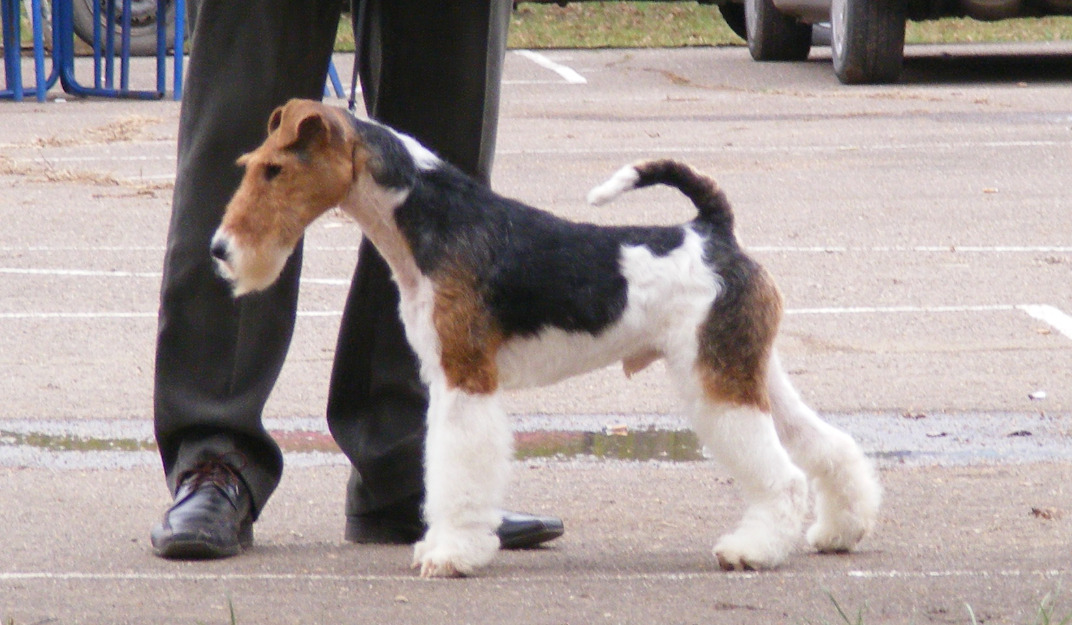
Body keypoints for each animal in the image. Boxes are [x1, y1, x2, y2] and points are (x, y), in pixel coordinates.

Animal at [206, 95, 879, 578]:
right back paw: (840, 530)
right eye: (250, 168)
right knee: (827, 446)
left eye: (274, 169)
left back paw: (752, 550)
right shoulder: (445, 376)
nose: (219, 250)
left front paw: (451, 553)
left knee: (784, 474)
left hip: (718, 377)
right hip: (745, 366)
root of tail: (713, 231)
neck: (435, 222)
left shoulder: (466, 376)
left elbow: (459, 472)